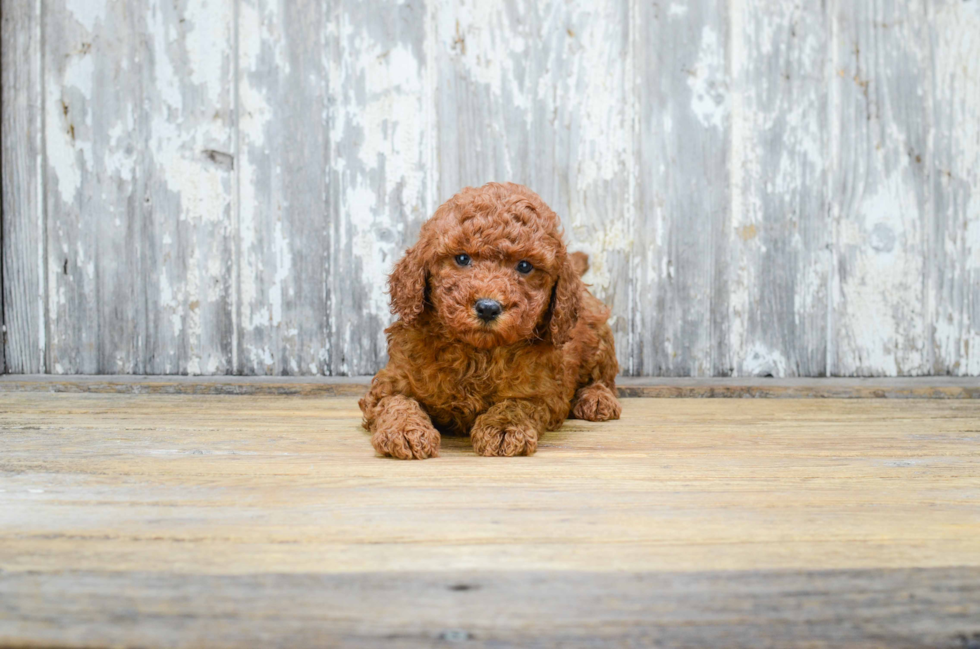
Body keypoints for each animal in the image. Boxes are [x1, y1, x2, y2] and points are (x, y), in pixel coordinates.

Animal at [358, 180, 620, 458]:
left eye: (524, 266)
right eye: (463, 258)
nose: (487, 308)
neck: (478, 353)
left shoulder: (543, 392)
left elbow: (517, 403)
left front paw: (503, 427)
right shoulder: (390, 382)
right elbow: (397, 401)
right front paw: (405, 430)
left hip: (597, 335)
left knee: (604, 377)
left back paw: (597, 398)